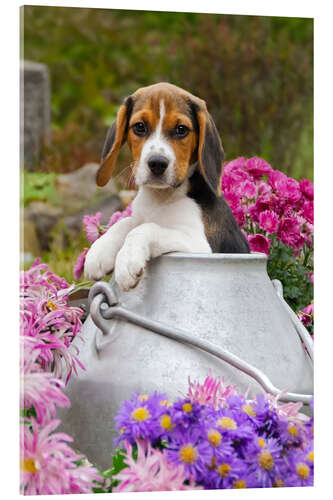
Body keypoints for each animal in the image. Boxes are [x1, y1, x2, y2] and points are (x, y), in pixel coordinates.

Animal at [84, 83, 248, 292]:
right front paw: (99, 251)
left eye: (181, 129)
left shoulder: (199, 244)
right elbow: (125, 222)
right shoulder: (139, 215)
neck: (161, 197)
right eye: (139, 127)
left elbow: (146, 228)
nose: (157, 163)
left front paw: (127, 261)